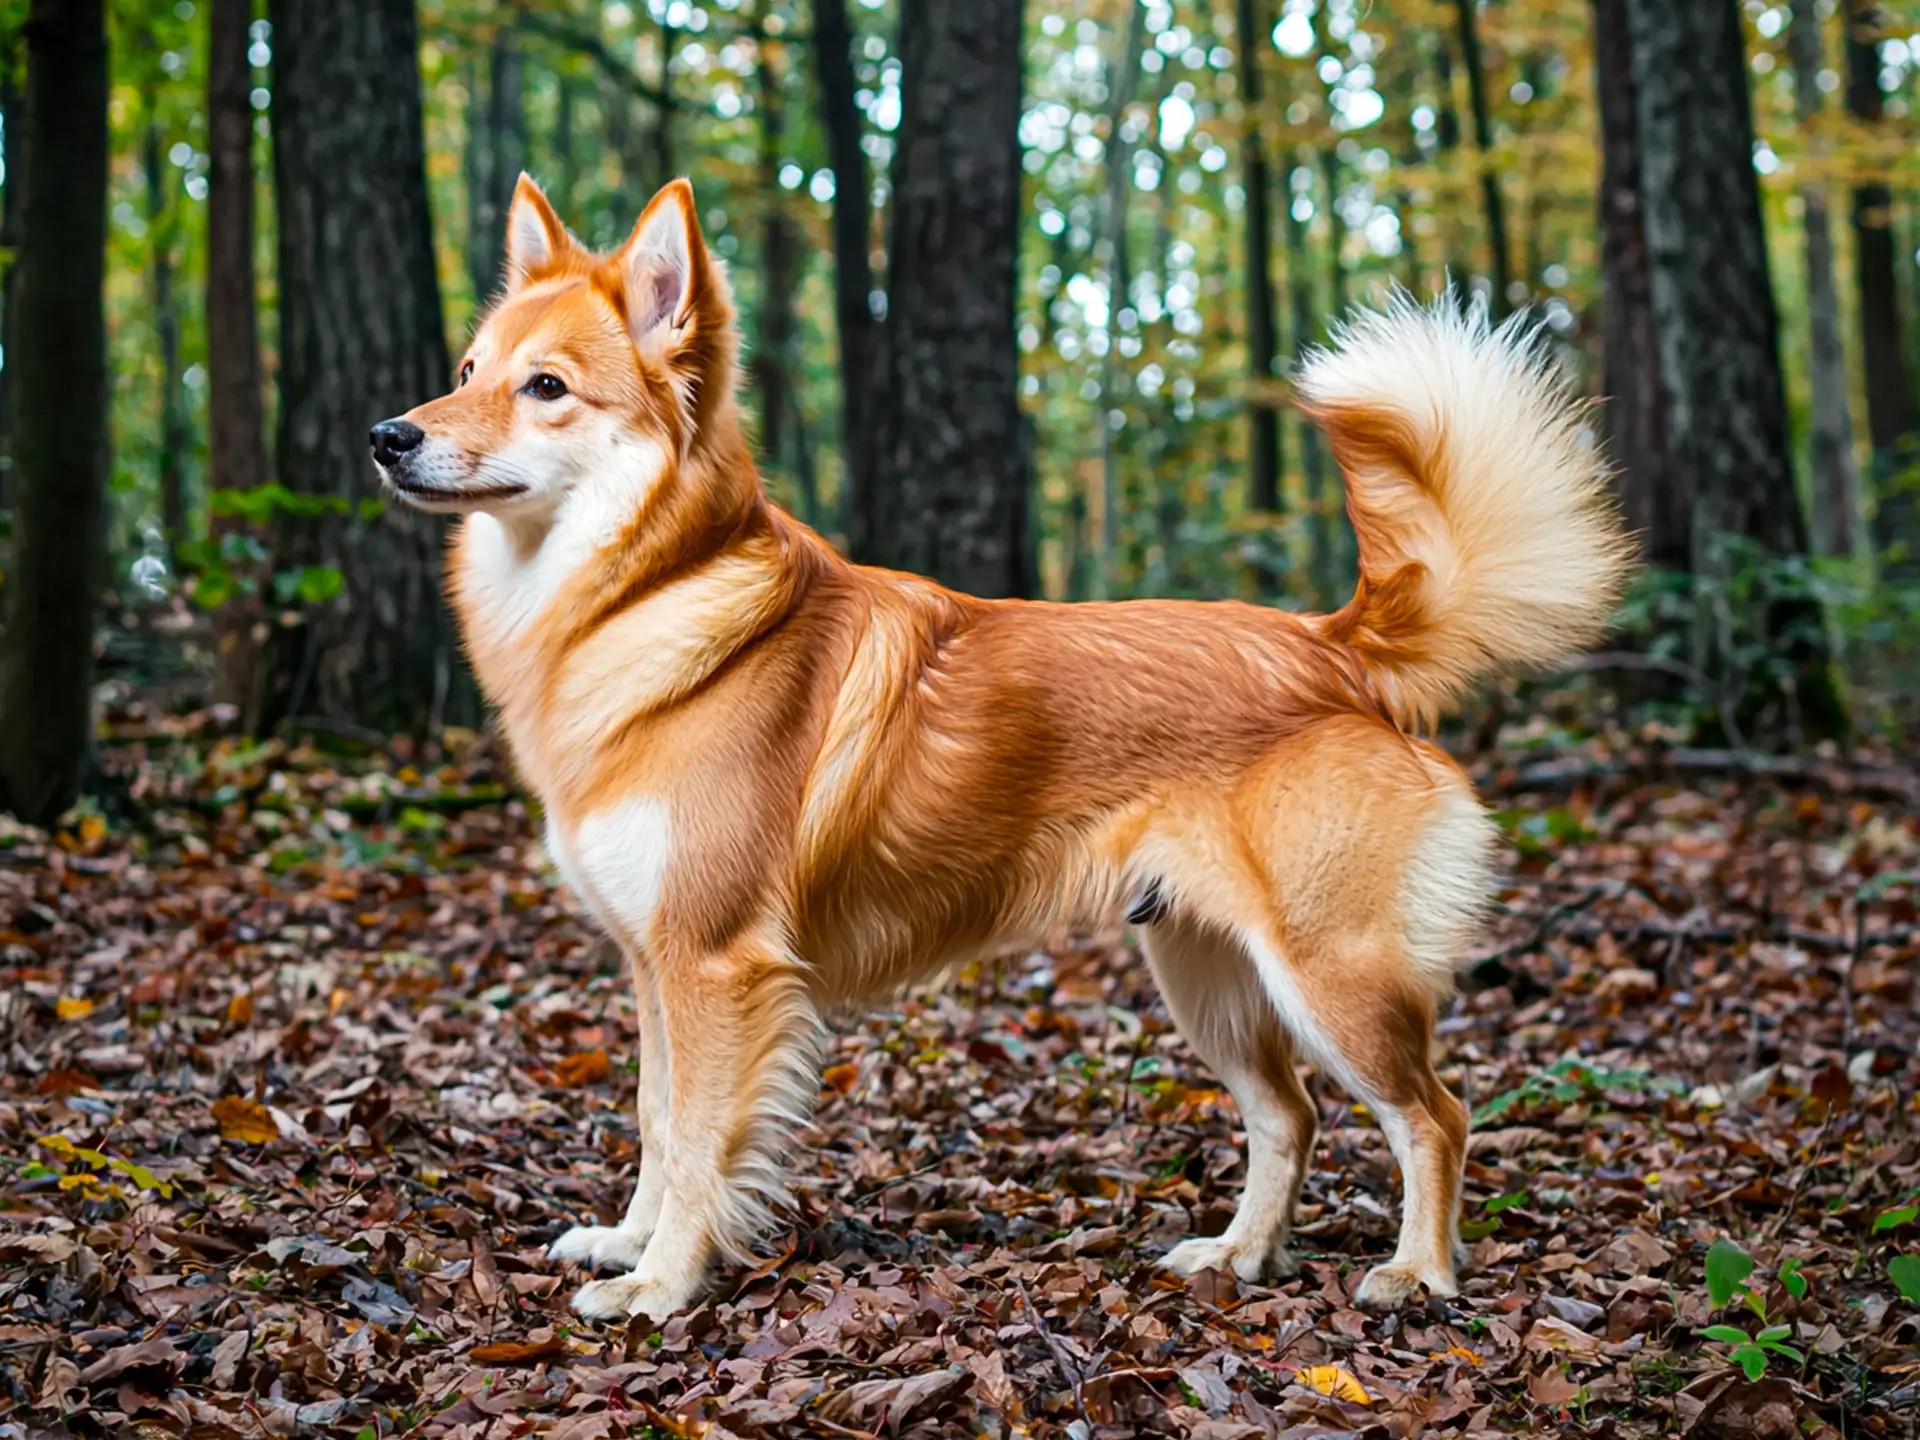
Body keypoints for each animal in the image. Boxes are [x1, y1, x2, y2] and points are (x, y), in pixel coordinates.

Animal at [370, 174, 1635, 1328]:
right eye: (470, 370)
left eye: (547, 388)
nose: (388, 436)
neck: (648, 596)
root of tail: (1335, 649)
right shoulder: (655, 965)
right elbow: (654, 1116)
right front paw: (629, 1242)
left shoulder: (718, 966)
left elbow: (698, 1141)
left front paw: (663, 1284)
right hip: (1207, 974)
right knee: (1291, 1116)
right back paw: (1238, 1256)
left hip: (1333, 974)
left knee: (1434, 1115)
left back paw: (1419, 1273)